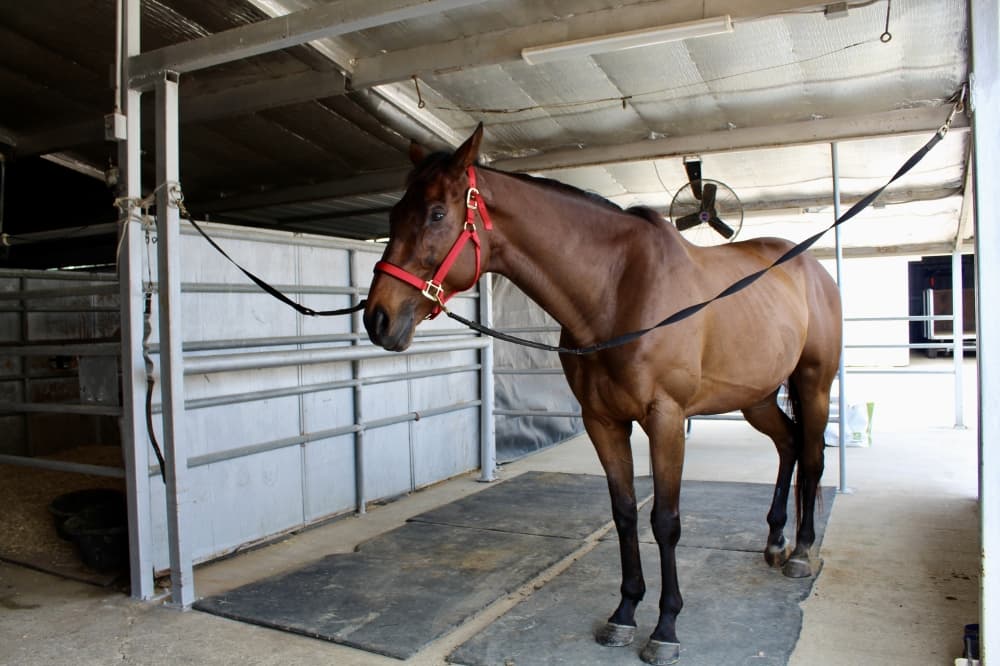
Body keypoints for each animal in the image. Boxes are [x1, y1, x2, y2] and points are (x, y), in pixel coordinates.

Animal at [363, 123, 842, 665]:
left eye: (437, 214)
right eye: (393, 215)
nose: (377, 318)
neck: (616, 291)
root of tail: (810, 268)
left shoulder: (666, 419)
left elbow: (665, 520)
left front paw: (666, 627)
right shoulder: (602, 421)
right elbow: (625, 513)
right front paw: (625, 613)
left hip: (814, 384)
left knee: (812, 455)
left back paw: (801, 551)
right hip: (756, 397)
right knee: (788, 445)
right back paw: (777, 539)